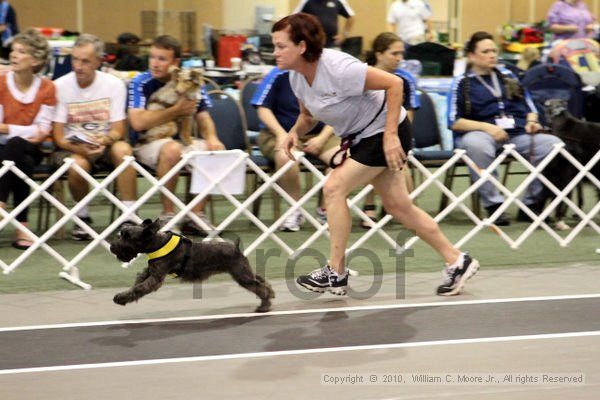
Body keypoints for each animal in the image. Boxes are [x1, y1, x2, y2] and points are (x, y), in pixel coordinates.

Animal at [109, 219, 274, 312]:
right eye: (121, 233)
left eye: (128, 237)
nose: (112, 247)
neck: (156, 243)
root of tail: (236, 248)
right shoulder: (150, 271)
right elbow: (138, 282)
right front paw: (125, 296)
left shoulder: (156, 277)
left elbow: (139, 288)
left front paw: (121, 298)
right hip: (244, 272)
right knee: (261, 280)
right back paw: (271, 295)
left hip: (242, 275)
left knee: (260, 287)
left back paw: (264, 306)